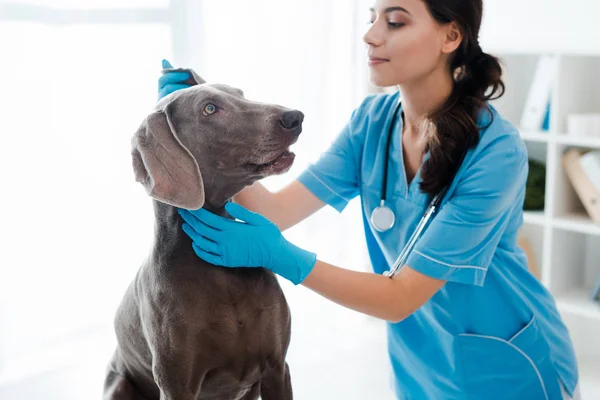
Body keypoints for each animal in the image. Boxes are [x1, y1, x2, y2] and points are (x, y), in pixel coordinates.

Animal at [104, 69, 304, 400]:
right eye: (209, 109)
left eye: (241, 94)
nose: (295, 117)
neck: (221, 274)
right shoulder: (176, 384)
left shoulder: (277, 367)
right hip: (118, 384)